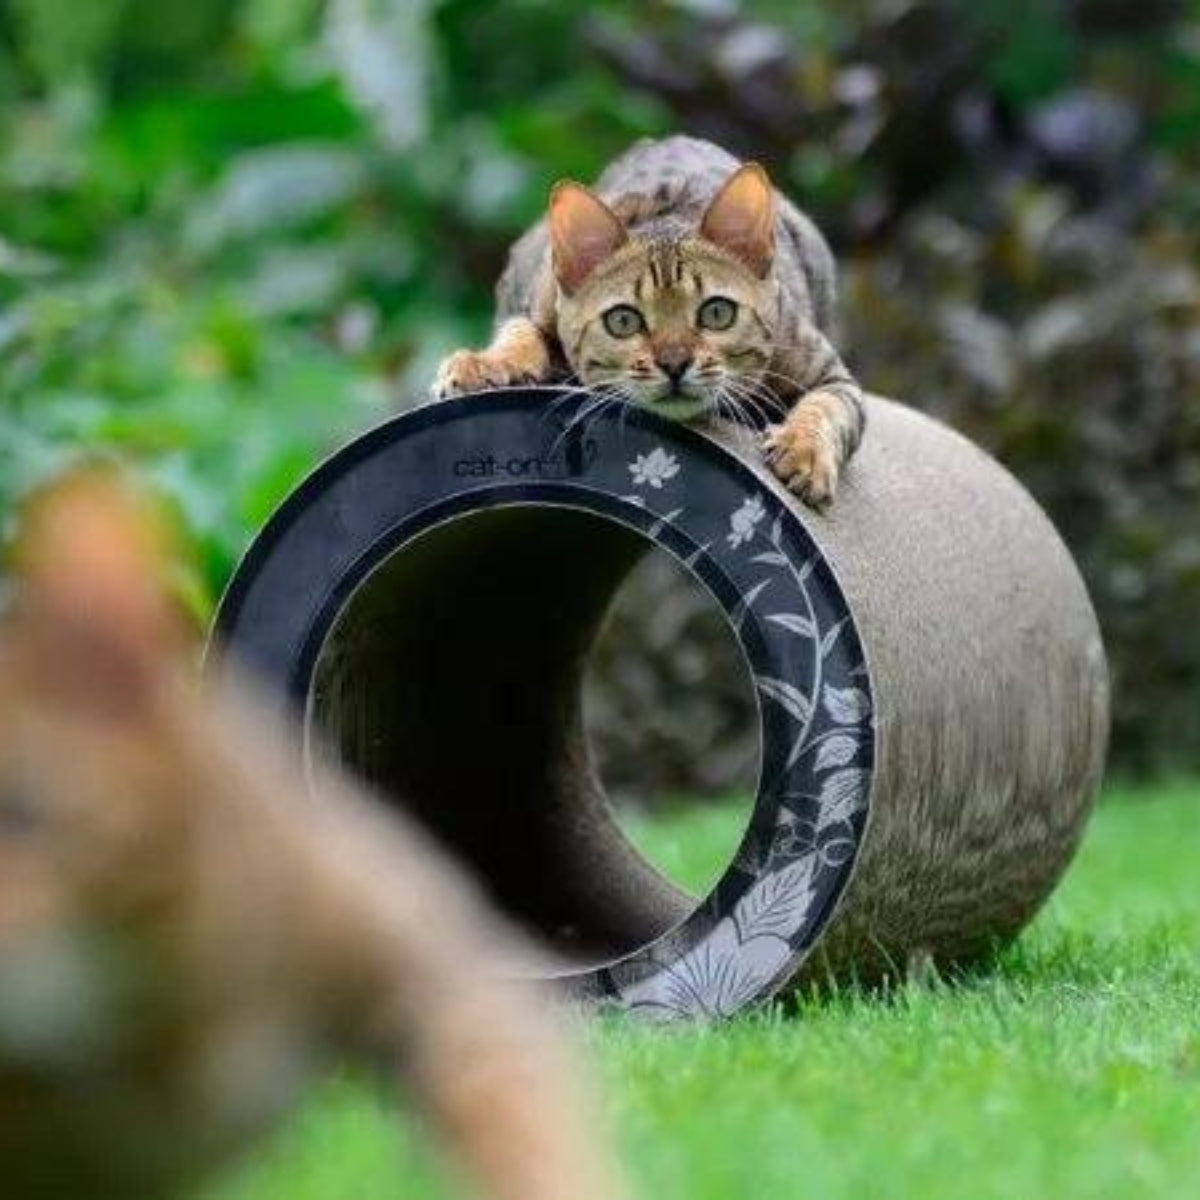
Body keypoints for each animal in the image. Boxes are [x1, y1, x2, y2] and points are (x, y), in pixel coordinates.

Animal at [432, 135, 864, 506]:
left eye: (717, 313)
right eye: (623, 321)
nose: (674, 364)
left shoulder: (831, 373)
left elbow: (828, 407)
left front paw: (804, 451)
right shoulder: (539, 303)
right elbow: (520, 331)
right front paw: (483, 364)